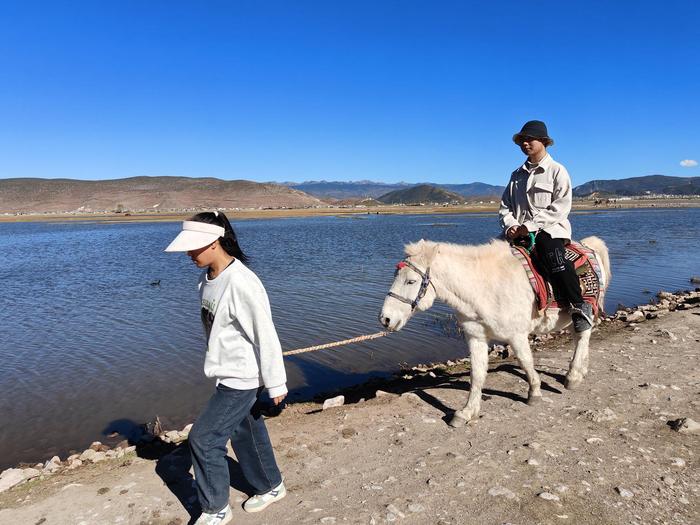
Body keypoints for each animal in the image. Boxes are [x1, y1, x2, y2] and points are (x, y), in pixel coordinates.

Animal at [380, 236, 608, 426]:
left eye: (411, 281)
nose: (385, 319)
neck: (485, 288)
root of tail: (589, 246)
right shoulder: (476, 337)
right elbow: (477, 373)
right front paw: (466, 412)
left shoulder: (516, 335)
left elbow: (526, 361)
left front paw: (534, 393)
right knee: (581, 337)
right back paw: (581, 370)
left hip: (582, 309)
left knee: (583, 335)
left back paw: (573, 377)